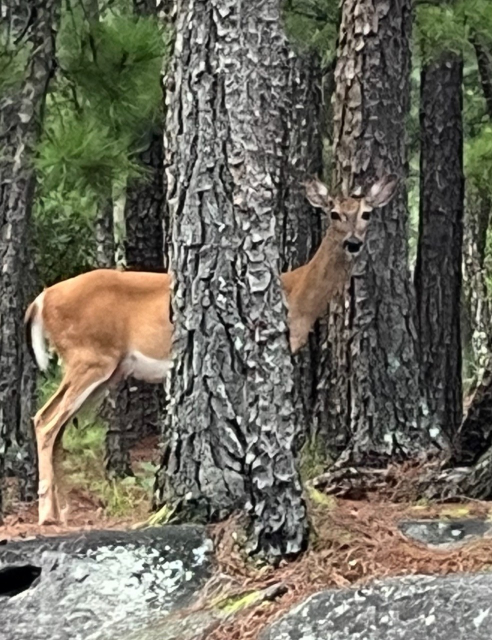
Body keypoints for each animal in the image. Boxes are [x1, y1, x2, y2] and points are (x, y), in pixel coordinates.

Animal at [25, 172, 398, 524]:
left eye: (366, 213)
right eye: (334, 213)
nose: (353, 243)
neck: (296, 295)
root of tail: (42, 299)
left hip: (104, 370)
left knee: (57, 426)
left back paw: (62, 510)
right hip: (89, 356)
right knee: (45, 420)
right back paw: (46, 514)